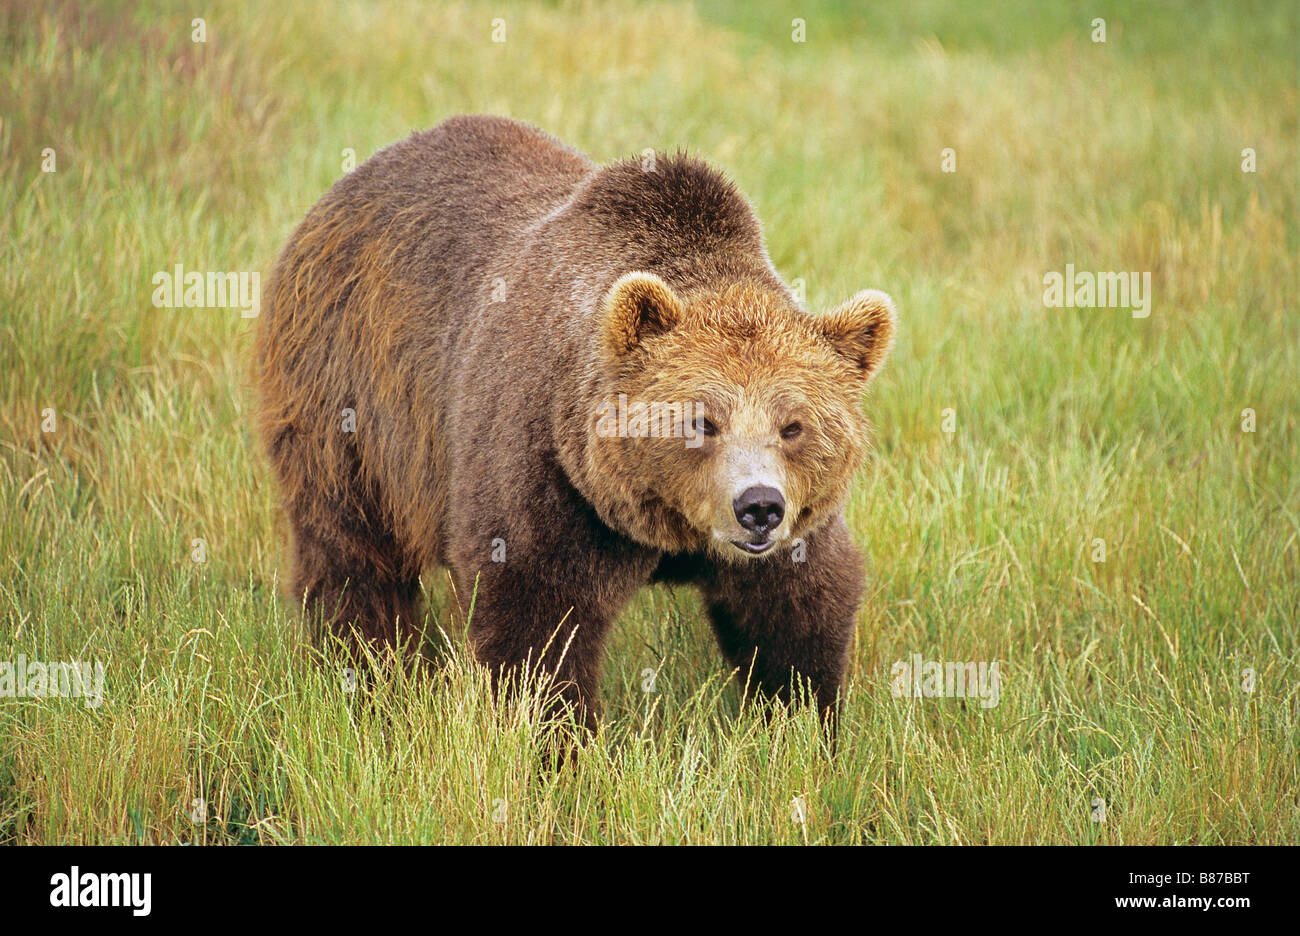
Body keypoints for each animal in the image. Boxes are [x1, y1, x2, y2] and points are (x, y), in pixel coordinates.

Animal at [254, 115, 896, 732]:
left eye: (793, 426)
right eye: (700, 422)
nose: (758, 506)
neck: (661, 526)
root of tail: (349, 185)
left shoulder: (791, 525)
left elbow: (799, 609)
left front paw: (802, 722)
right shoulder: (545, 469)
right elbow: (535, 625)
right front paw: (558, 742)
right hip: (349, 392)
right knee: (350, 550)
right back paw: (366, 670)